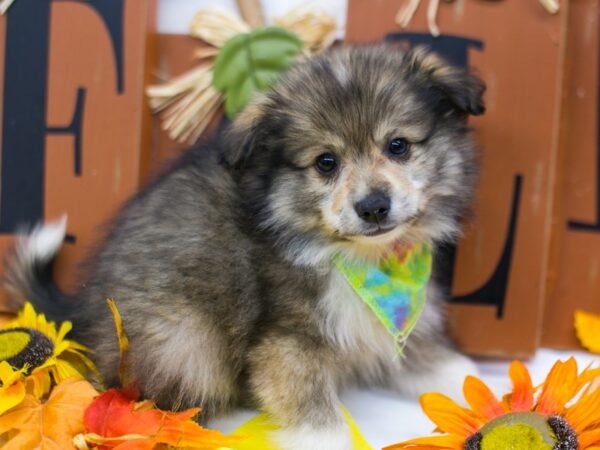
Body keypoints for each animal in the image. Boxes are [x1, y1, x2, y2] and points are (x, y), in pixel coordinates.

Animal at [4, 45, 486, 450]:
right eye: (326, 162)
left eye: (398, 145)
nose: (373, 207)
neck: (364, 262)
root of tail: (79, 314)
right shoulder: (285, 342)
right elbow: (316, 415)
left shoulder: (391, 323)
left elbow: (432, 359)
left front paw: (476, 384)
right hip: (185, 339)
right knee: (170, 402)